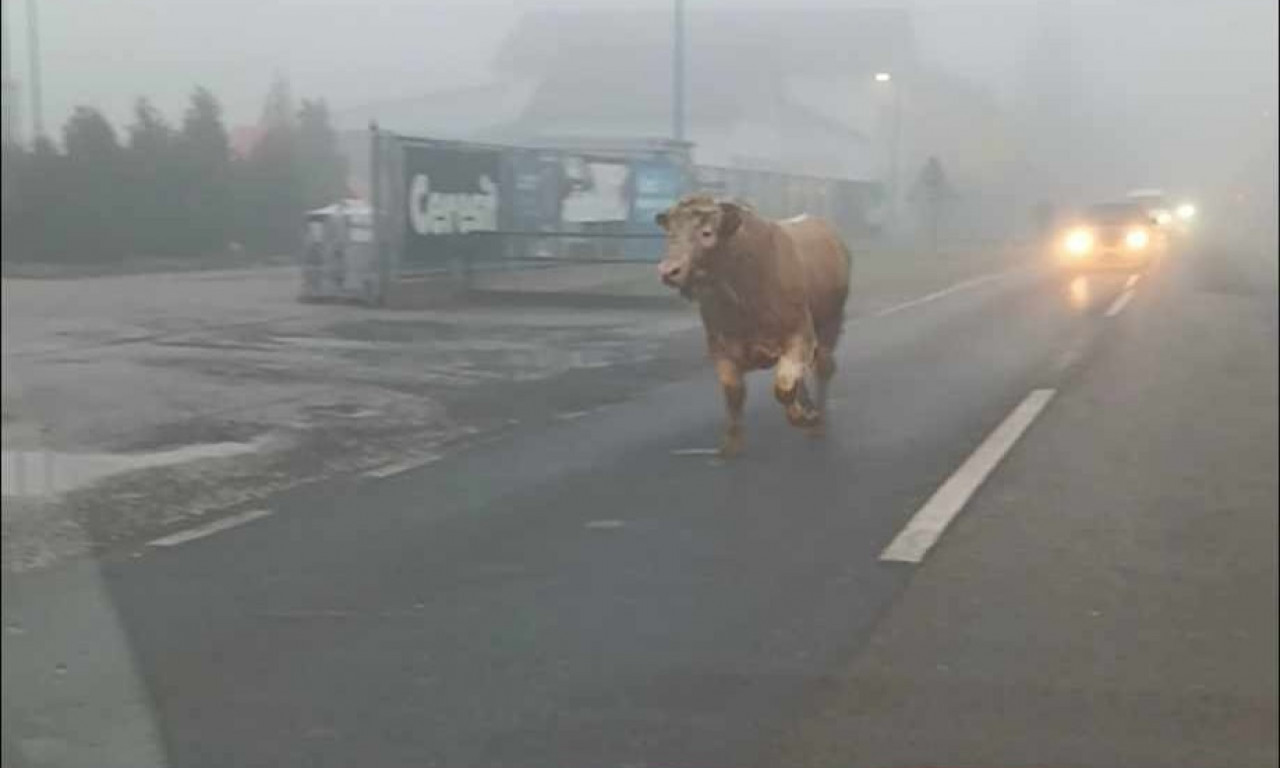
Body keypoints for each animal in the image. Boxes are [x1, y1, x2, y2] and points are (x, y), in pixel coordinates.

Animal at [660, 194, 849, 455]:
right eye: (670, 233)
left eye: (707, 232)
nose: (669, 271)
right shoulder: (720, 346)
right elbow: (734, 392)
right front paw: (732, 442)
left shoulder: (800, 335)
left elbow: (783, 387)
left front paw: (803, 417)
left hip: (831, 323)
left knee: (823, 367)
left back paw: (817, 424)